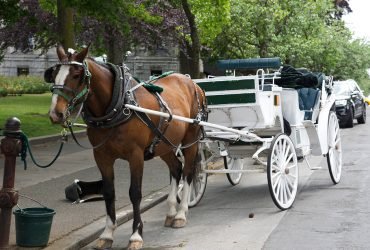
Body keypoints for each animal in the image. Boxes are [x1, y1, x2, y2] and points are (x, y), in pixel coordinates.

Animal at [46, 45, 207, 250]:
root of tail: (193, 83)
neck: (117, 105)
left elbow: (135, 193)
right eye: (54, 74)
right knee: (176, 168)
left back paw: (180, 214)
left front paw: (136, 235)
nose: (55, 114)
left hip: (190, 140)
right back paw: (171, 212)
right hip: (164, 144)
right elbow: (108, 192)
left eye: (76, 75)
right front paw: (107, 234)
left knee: (188, 173)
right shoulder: (101, 156)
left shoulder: (135, 155)